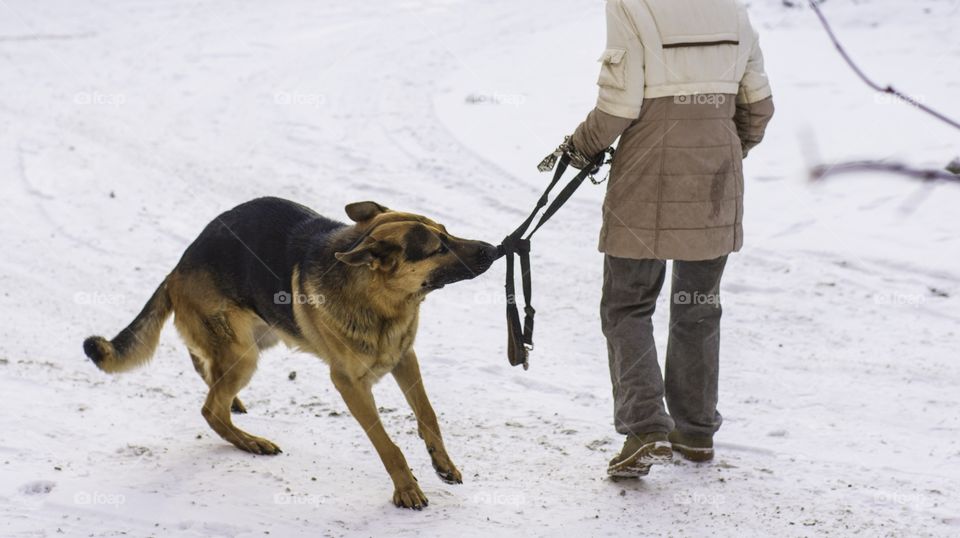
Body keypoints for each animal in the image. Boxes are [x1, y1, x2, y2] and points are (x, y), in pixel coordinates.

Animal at [83, 196, 498, 506]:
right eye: (438, 247)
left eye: (446, 232)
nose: (493, 249)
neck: (379, 299)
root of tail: (177, 268)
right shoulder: (349, 384)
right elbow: (385, 443)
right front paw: (407, 489)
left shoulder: (403, 359)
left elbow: (428, 414)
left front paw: (443, 464)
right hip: (244, 353)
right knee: (210, 408)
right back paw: (249, 441)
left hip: (258, 335)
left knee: (205, 368)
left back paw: (233, 403)